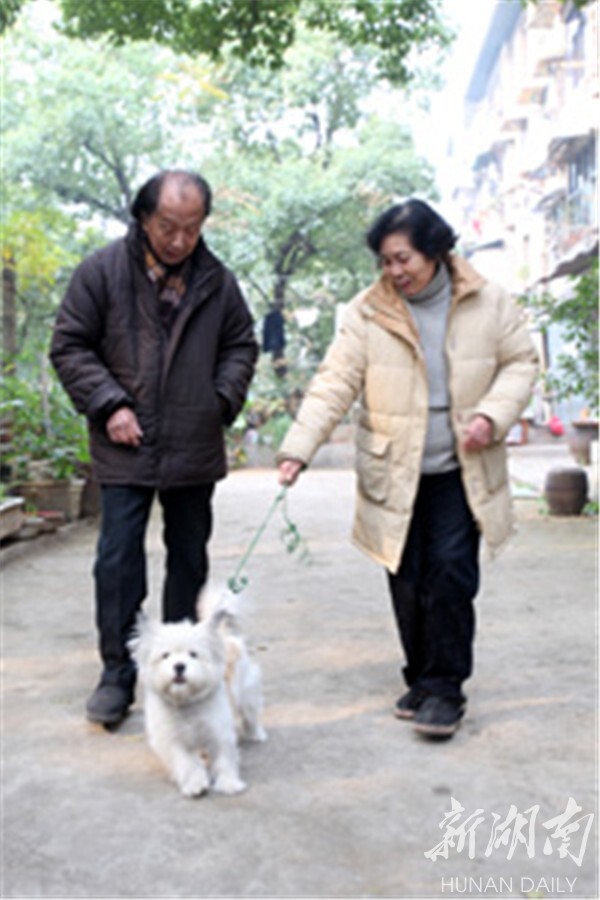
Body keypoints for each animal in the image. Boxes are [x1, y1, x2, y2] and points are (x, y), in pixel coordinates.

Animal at [128, 588, 266, 798]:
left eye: (193, 654)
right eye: (165, 655)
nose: (179, 666)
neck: (187, 702)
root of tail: (224, 636)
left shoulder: (218, 731)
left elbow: (224, 758)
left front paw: (229, 783)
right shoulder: (173, 740)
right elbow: (186, 762)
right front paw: (195, 784)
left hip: (246, 692)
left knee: (250, 714)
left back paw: (256, 734)